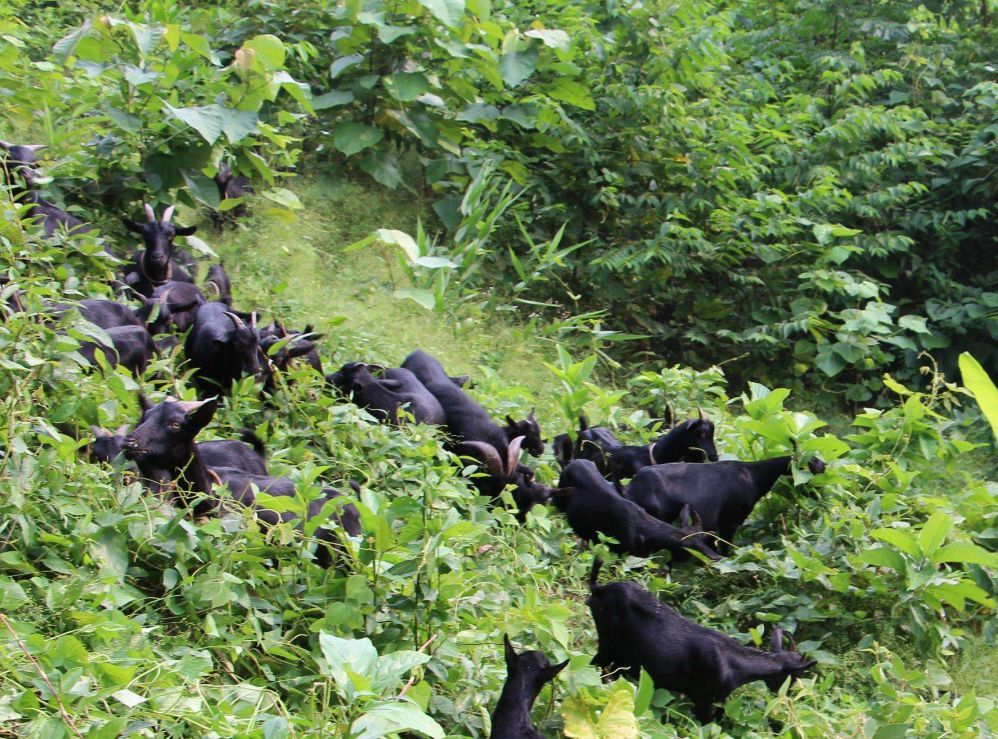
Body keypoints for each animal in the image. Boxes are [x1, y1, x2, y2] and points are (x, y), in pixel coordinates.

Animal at [552, 460, 724, 564]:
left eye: (704, 539)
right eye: (692, 548)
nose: (715, 556)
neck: (644, 532)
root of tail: (572, 462)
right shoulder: (619, 553)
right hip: (557, 501)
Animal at [588, 560, 816, 724]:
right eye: (796, 676)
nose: (792, 699)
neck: (735, 666)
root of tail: (598, 589)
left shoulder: (718, 700)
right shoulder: (702, 698)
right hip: (609, 645)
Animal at [624, 454, 828, 552]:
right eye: (813, 468)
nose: (820, 496)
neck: (753, 477)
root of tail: (630, 489)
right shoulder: (730, 521)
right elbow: (726, 548)